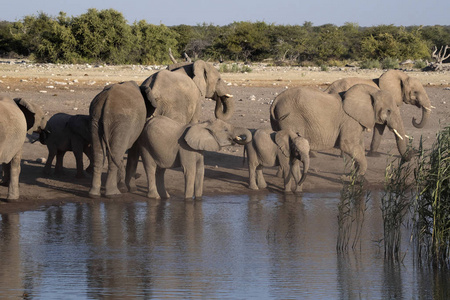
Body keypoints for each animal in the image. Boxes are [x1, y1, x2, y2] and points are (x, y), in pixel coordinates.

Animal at [268, 84, 410, 178]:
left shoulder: (356, 121)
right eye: (389, 111)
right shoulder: (350, 120)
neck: (373, 92)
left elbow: (358, 145)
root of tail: (275, 100)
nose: (410, 157)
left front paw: (354, 174)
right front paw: (358, 175)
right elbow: (347, 144)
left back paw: (279, 176)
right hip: (290, 119)